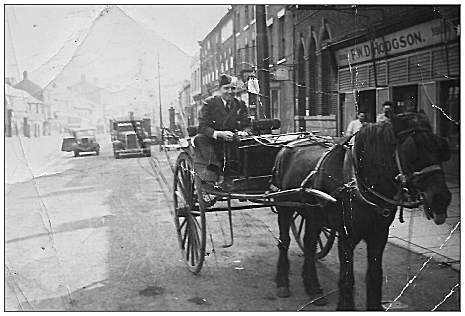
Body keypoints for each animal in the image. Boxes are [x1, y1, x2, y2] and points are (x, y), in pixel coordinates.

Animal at [270, 111, 452, 312]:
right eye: (412, 150)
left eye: (440, 146)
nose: (441, 199)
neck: (359, 182)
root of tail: (286, 146)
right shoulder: (346, 236)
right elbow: (347, 277)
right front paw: (345, 306)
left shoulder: (379, 234)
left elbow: (375, 273)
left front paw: (375, 305)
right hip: (285, 208)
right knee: (284, 241)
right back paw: (282, 282)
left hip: (313, 215)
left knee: (309, 244)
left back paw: (313, 288)